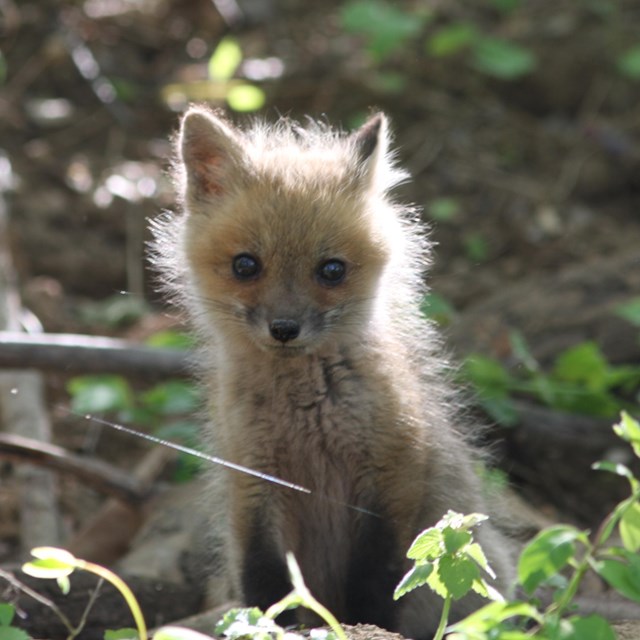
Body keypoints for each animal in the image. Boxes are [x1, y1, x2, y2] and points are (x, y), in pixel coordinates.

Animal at [154, 107, 516, 636]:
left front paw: (364, 626)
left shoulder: (391, 476)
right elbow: (264, 582)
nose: (285, 328)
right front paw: (263, 625)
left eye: (331, 270)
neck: (305, 416)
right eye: (245, 265)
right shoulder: (254, 485)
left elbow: (379, 578)